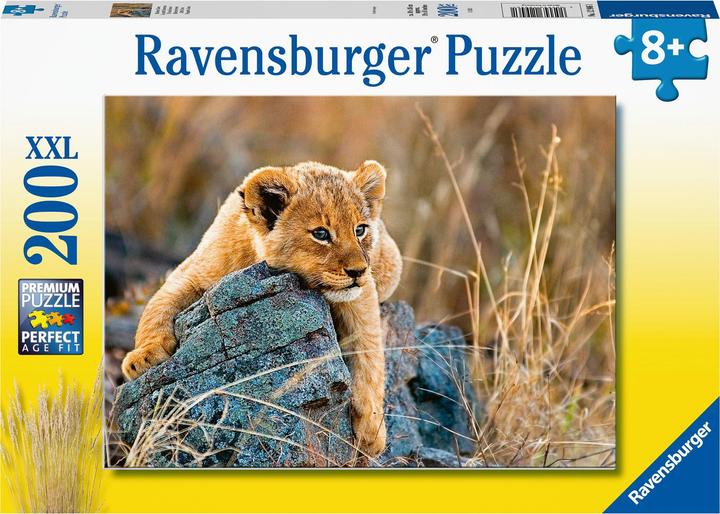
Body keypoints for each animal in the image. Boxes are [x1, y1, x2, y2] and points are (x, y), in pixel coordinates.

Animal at [121, 160, 402, 457]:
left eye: (360, 230)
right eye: (321, 234)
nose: (358, 271)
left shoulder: (361, 296)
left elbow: (369, 353)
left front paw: (372, 430)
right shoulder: (191, 272)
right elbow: (157, 306)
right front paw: (142, 358)